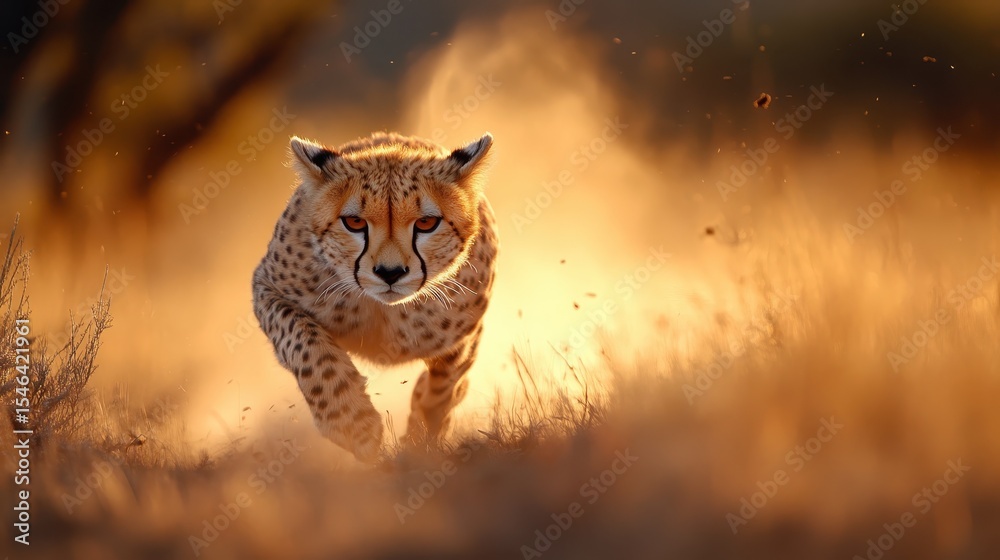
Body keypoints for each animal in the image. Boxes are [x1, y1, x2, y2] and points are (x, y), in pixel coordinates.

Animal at [252, 131, 498, 462]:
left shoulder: (467, 332)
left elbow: (443, 387)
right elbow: (304, 344)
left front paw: (422, 438)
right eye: (354, 222)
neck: (386, 310)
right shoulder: (267, 288)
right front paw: (350, 421)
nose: (390, 272)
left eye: (426, 223)